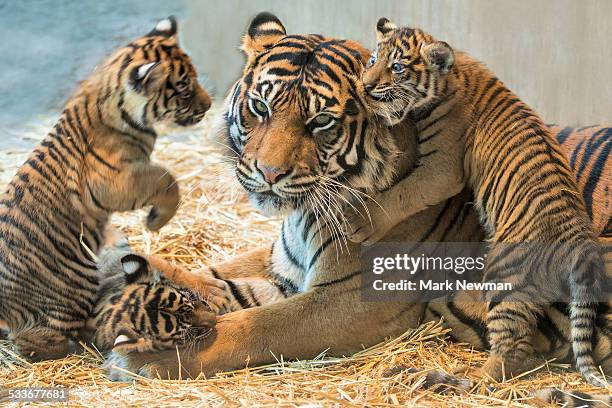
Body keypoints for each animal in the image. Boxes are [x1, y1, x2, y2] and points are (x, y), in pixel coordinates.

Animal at [0, 15, 212, 360]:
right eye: (184, 89)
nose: (208, 105)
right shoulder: (120, 181)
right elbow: (167, 178)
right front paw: (156, 221)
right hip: (76, 284)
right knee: (34, 340)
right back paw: (71, 348)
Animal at [105, 12, 608, 386]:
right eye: (260, 108)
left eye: (321, 122)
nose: (268, 174)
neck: (304, 216)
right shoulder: (283, 267)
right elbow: (211, 278)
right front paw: (120, 268)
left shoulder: (353, 300)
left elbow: (257, 325)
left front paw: (149, 356)